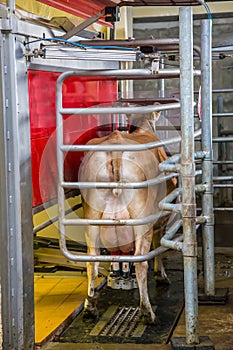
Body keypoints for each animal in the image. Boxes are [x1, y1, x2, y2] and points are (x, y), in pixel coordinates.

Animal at [78, 110, 177, 324]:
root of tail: (116, 144)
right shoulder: (161, 220)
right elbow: (158, 245)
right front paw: (161, 275)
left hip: (92, 216)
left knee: (92, 260)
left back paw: (90, 308)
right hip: (142, 218)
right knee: (140, 261)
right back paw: (147, 311)